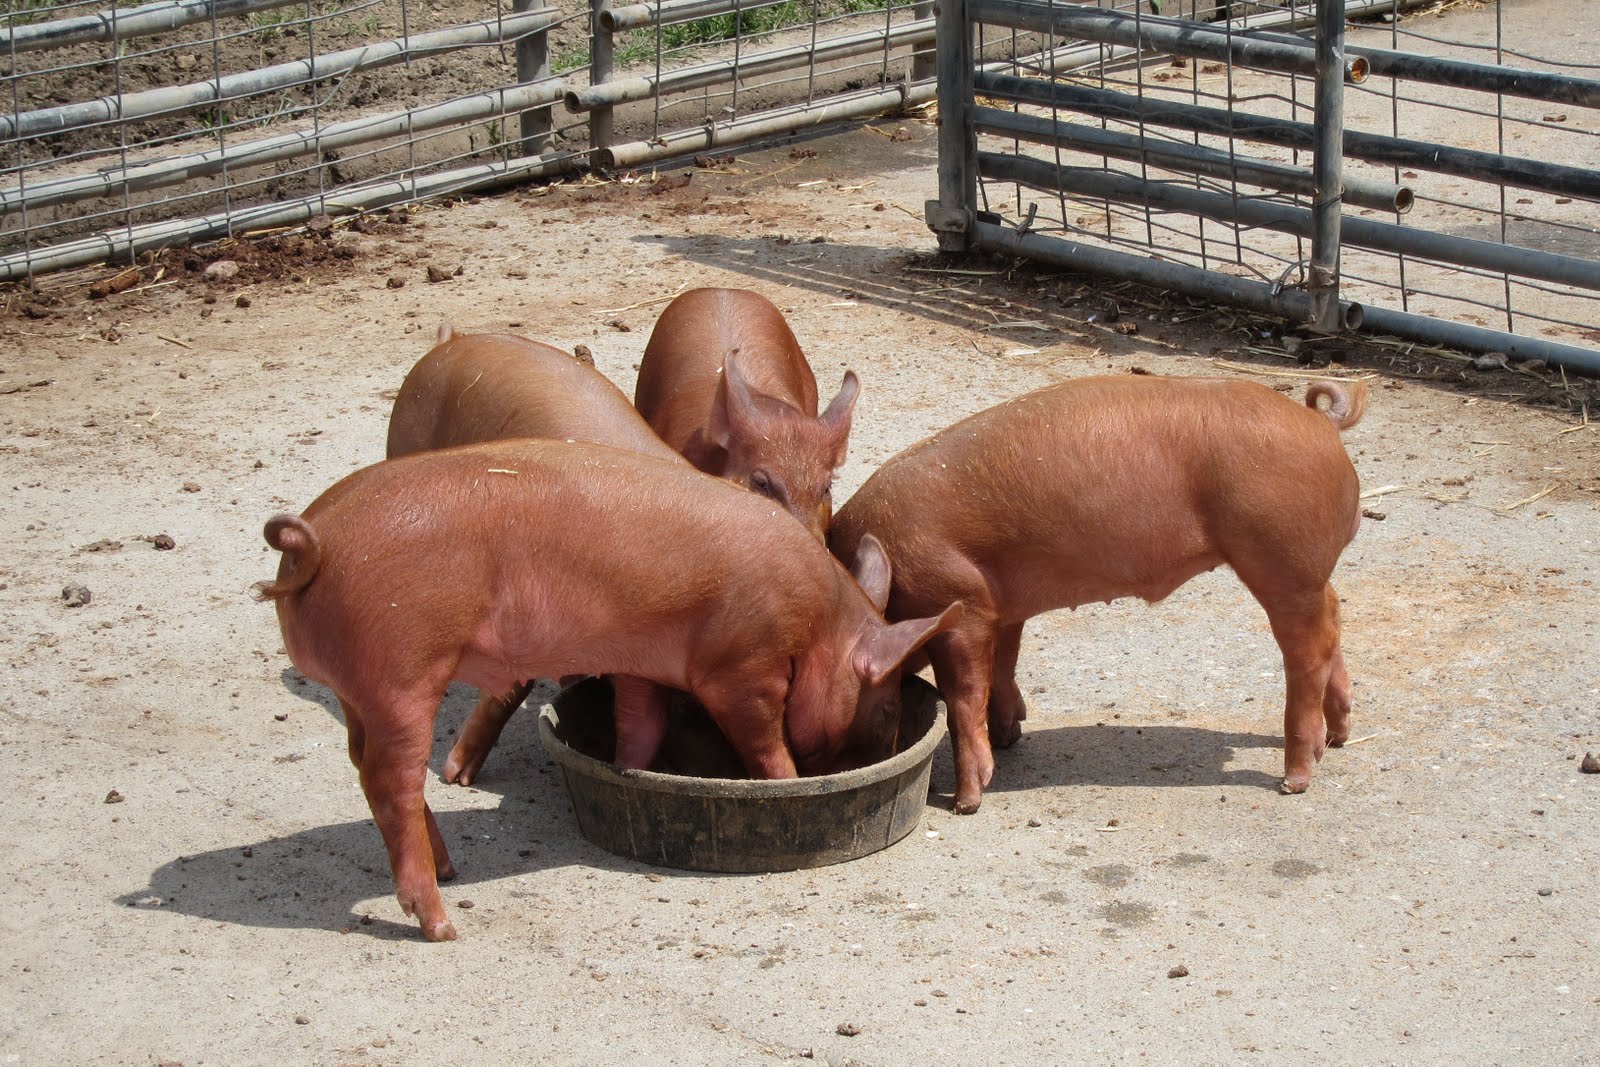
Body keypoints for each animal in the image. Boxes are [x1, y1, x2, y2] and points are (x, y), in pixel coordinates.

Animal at [257, 438, 958, 940]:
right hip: (401, 671)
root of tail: (314, 544)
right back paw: (442, 924)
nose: (875, 752)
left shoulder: (643, 664)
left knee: (363, 765)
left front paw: (629, 769)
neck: (817, 623)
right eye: (886, 705)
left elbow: (641, 727)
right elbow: (764, 744)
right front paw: (787, 786)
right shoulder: (741, 666)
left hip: (360, 691)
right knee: (390, 781)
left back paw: (450, 869)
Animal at [828, 374, 1368, 814]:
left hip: (1281, 558)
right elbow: (1003, 666)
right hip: (1303, 571)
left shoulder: (959, 604)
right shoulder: (1001, 604)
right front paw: (1009, 736)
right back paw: (1339, 738)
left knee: (1308, 650)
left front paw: (966, 803)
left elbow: (964, 695)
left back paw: (1294, 779)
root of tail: (1319, 422)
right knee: (1334, 618)